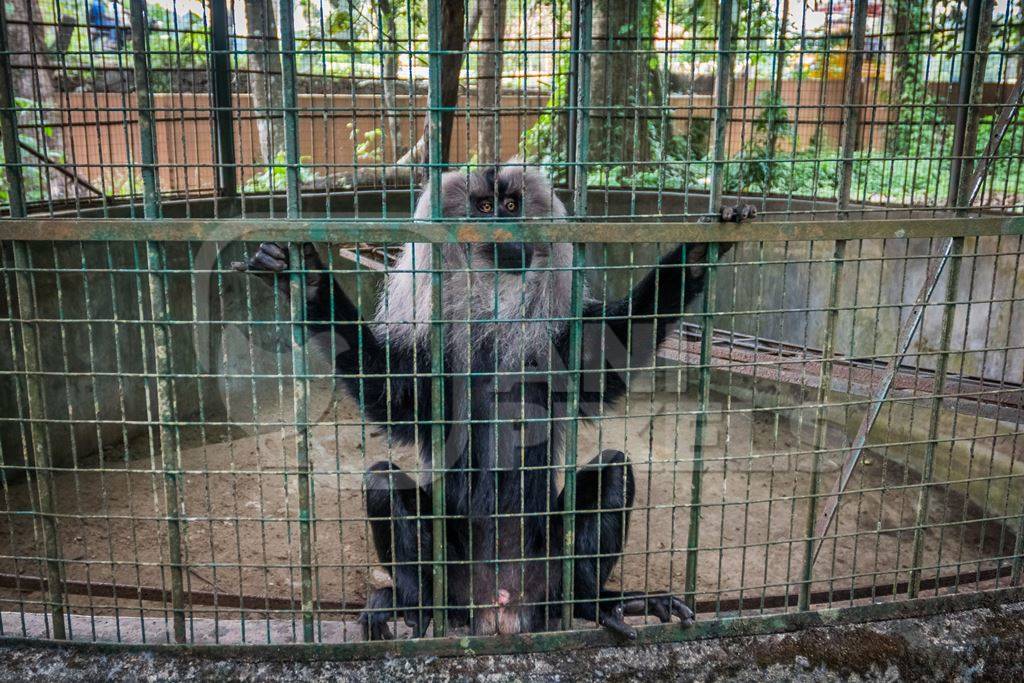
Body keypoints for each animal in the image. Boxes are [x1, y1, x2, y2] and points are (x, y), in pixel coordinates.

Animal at [235, 165, 757, 643]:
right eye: (484, 207)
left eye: (510, 205)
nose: (504, 225)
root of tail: (501, 608)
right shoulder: (435, 367)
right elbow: (391, 396)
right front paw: (305, 280)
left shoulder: (561, 348)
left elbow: (620, 347)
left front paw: (704, 248)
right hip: (456, 579)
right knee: (382, 482)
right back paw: (416, 608)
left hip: (548, 567)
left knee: (613, 469)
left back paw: (594, 604)